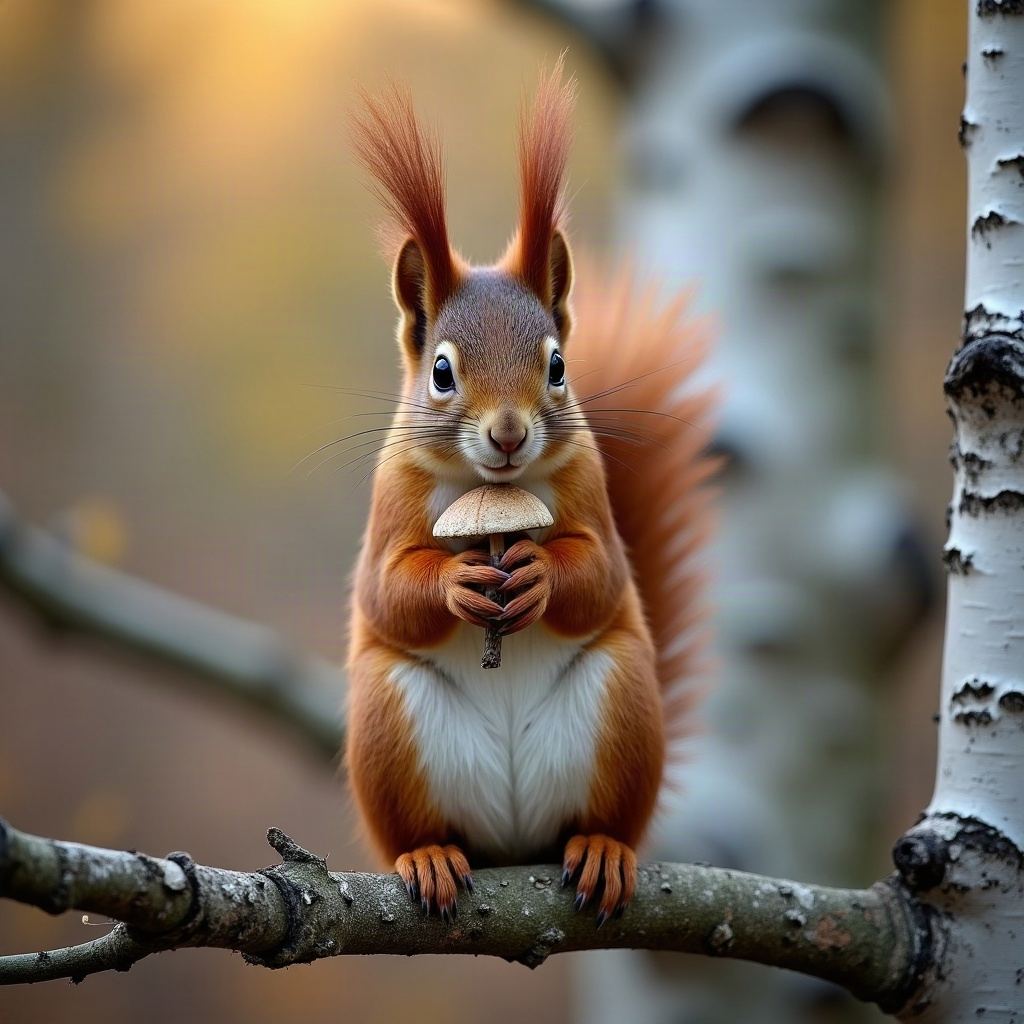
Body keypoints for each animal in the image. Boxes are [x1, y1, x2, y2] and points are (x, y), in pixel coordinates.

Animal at [345, 59, 715, 927]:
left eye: (556, 364)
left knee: (600, 819)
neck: (491, 492)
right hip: (386, 720)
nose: (510, 434)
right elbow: (386, 589)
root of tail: (513, 845)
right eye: (441, 371)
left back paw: (603, 849)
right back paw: (430, 855)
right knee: (421, 829)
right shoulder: (390, 502)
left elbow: (604, 573)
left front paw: (541, 575)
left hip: (624, 701)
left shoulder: (590, 489)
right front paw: (455, 580)